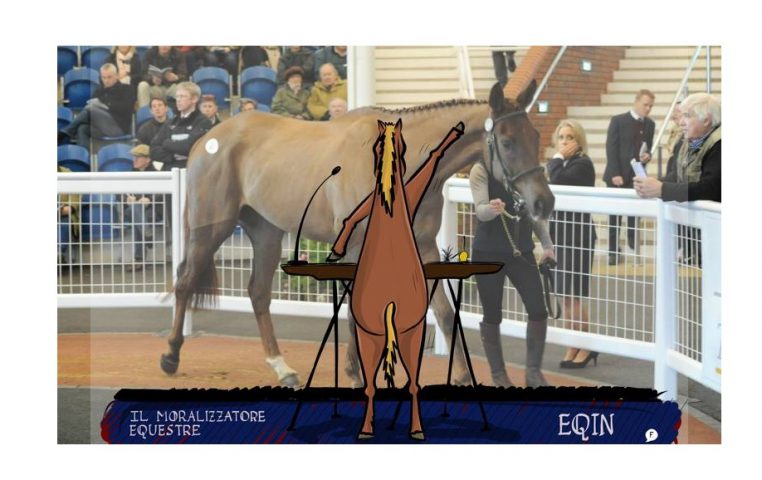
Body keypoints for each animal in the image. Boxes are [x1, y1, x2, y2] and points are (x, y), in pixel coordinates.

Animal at [160, 80, 555, 389]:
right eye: (506, 141)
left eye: (535, 135)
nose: (544, 202)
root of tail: (208, 139)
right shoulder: (354, 245)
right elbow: (357, 308)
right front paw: (357, 372)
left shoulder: (424, 246)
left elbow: (442, 311)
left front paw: (459, 375)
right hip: (211, 227)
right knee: (186, 280)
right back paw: (171, 356)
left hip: (266, 231)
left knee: (258, 292)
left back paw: (282, 368)